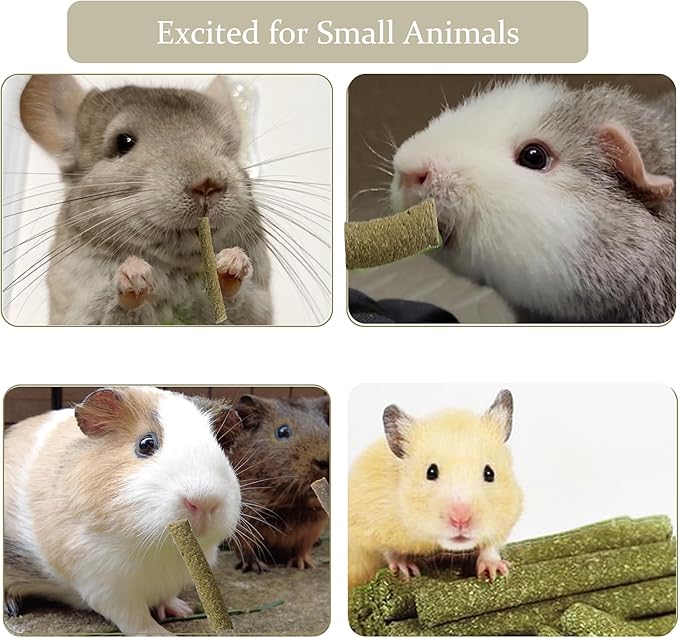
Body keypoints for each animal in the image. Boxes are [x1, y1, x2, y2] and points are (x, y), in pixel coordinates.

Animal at [4, 386, 242, 635]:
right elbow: (135, 619)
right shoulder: (104, 584)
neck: (162, 551)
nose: (205, 502)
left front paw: (182, 610)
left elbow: (166, 597)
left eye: (220, 446)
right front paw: (162, 633)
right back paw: (12, 608)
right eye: (146, 444)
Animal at [18, 75, 272, 325]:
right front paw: (134, 274)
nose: (207, 184)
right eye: (123, 142)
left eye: (229, 146)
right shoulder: (82, 307)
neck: (174, 267)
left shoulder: (258, 309)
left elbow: (239, 301)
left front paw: (232, 263)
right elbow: (118, 310)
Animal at [217, 394, 330, 572]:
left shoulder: (313, 527)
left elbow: (302, 548)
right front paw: (256, 567)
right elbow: (245, 546)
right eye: (283, 431)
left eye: (326, 427)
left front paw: (304, 565)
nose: (324, 461)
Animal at [348, 389, 522, 589]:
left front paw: (495, 570)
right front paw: (406, 570)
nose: (461, 520)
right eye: (431, 472)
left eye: (489, 473)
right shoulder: (369, 521)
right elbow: (388, 550)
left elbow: (490, 545)